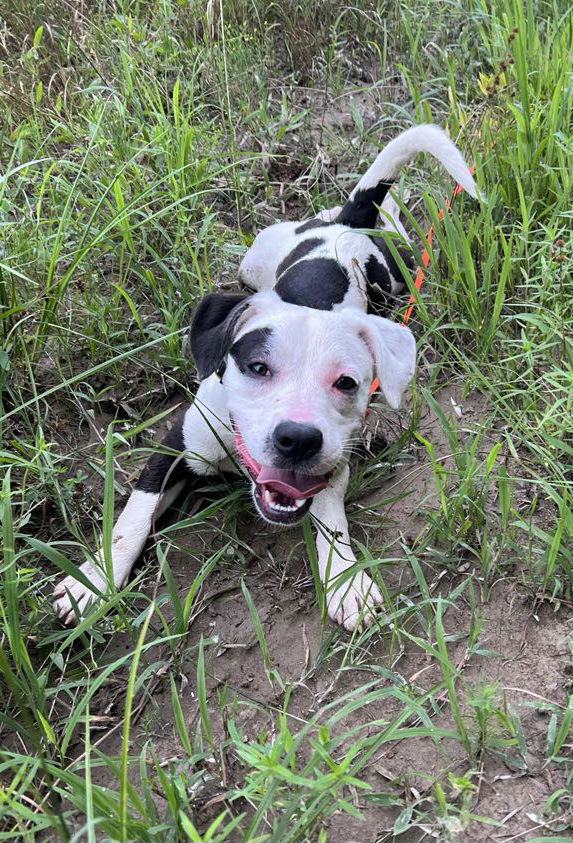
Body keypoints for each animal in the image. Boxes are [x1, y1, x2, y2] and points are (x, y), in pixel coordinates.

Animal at [53, 123, 476, 628]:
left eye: (347, 383)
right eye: (257, 367)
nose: (298, 439)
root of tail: (346, 225)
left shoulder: (331, 464)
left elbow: (330, 515)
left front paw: (345, 578)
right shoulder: (173, 447)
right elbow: (131, 518)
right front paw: (95, 579)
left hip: (395, 277)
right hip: (257, 259)